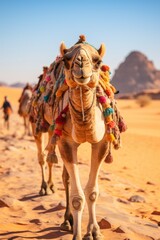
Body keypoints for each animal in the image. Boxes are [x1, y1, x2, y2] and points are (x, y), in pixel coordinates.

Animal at [30, 36, 126, 240]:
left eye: (98, 61)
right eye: (67, 60)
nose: (81, 64)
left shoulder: (101, 142)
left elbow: (92, 192)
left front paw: (94, 231)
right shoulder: (66, 142)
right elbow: (77, 197)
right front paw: (78, 234)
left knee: (61, 171)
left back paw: (68, 220)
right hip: (38, 123)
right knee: (44, 158)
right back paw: (48, 194)